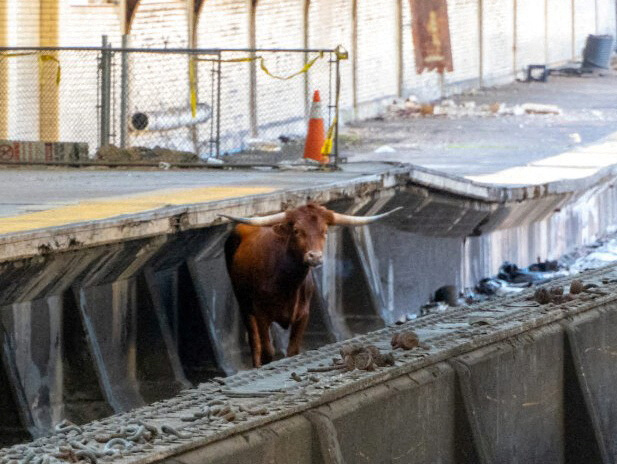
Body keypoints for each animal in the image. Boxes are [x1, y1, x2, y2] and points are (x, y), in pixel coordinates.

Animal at [221, 202, 400, 366]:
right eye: (297, 230)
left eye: (325, 231)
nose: (315, 257)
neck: (286, 284)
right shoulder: (261, 314)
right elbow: (267, 352)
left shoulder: (303, 315)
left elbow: (293, 351)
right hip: (244, 304)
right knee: (254, 342)